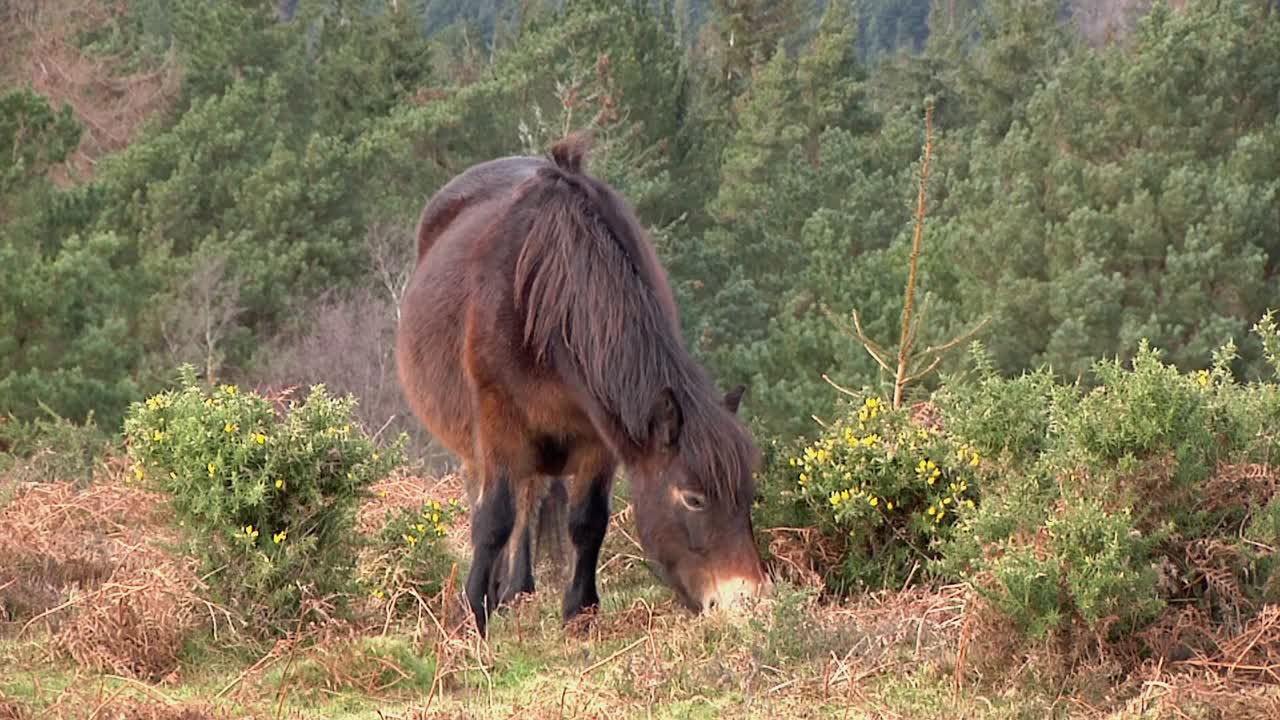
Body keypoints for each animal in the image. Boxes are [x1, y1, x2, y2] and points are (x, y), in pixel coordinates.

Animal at [395, 131, 768, 637]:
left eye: (748, 494)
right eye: (694, 498)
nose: (744, 601)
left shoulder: (600, 435)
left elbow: (587, 522)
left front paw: (580, 612)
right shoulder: (497, 420)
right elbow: (494, 519)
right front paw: (473, 613)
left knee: (531, 498)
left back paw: (517, 589)